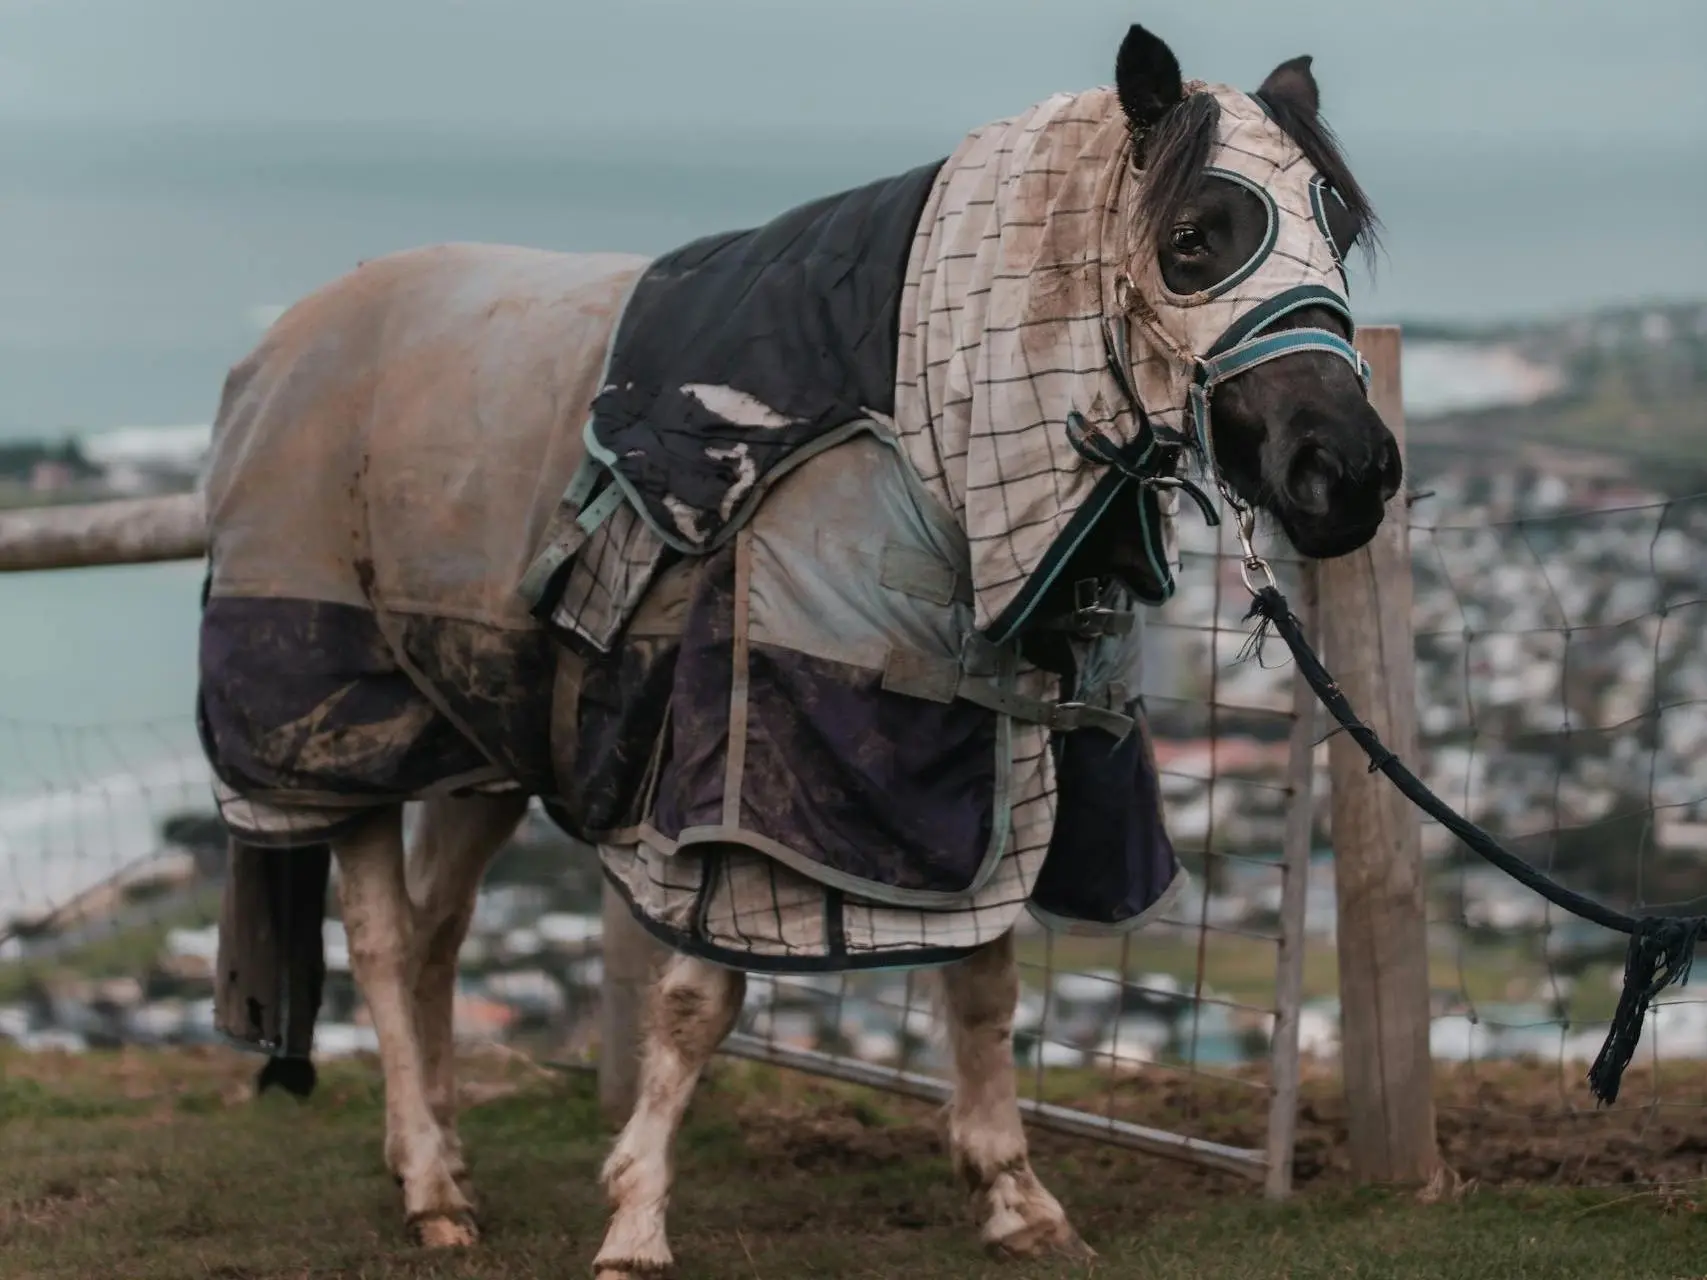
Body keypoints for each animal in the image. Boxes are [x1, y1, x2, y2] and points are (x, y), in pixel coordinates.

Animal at [196, 17, 1399, 1276]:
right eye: (1190, 238)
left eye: (1336, 228)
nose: (1348, 471)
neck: (932, 432)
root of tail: (279, 347)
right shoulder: (746, 784)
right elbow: (698, 1006)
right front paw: (634, 1218)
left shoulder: (993, 761)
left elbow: (984, 981)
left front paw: (1017, 1196)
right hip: (336, 733)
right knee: (385, 944)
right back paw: (431, 1181)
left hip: (480, 742)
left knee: (436, 936)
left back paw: (437, 1160)